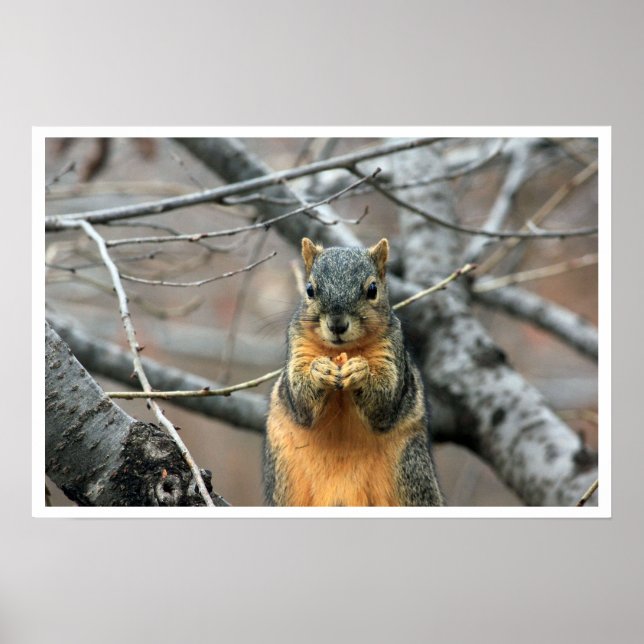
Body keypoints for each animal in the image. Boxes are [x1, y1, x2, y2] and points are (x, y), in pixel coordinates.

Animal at [264, 237, 444, 507]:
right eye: (309, 290)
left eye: (372, 290)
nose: (337, 325)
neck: (343, 351)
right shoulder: (298, 348)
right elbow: (301, 400)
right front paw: (319, 370)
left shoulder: (391, 352)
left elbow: (384, 401)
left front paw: (361, 371)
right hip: (283, 479)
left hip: (410, 472)